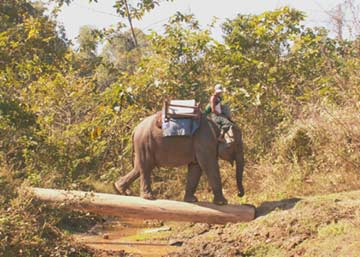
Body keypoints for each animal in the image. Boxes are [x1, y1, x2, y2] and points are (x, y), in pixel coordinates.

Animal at [114, 111, 246, 204]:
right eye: (235, 145)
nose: (239, 194)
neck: (217, 125)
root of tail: (135, 129)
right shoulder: (205, 141)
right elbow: (209, 165)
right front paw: (223, 202)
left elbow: (196, 167)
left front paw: (192, 200)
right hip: (144, 142)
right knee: (146, 167)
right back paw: (149, 197)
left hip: (142, 145)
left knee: (139, 167)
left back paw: (120, 189)